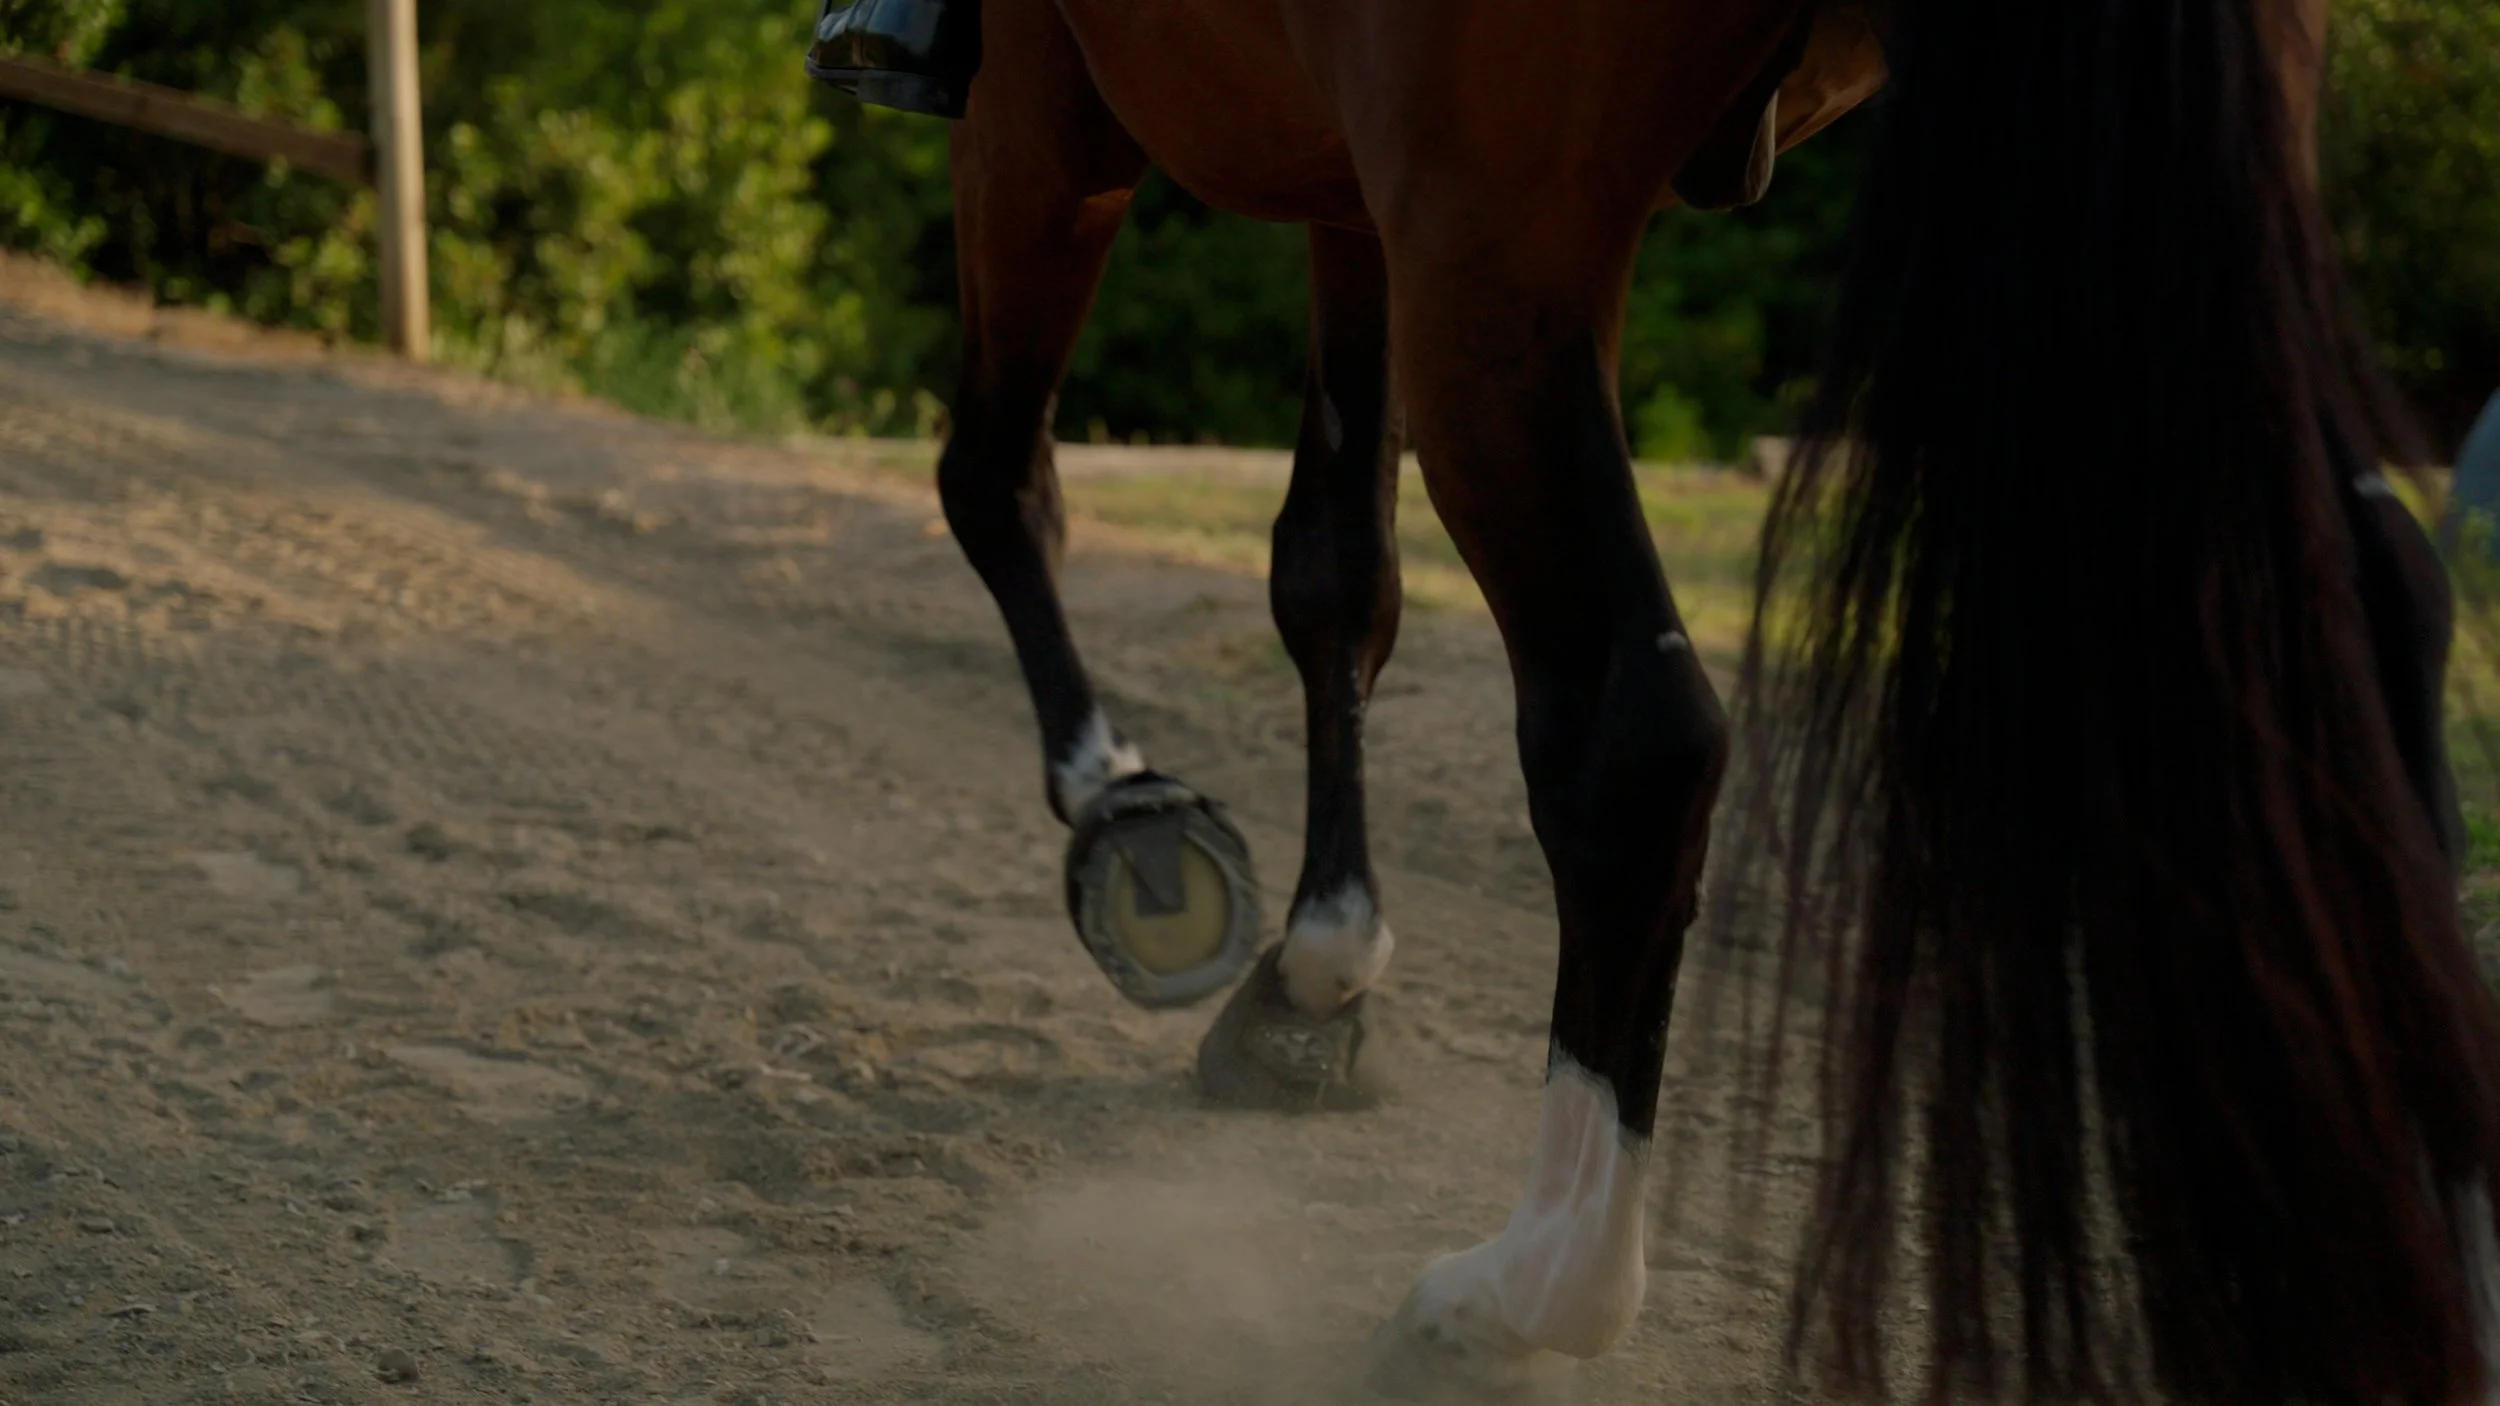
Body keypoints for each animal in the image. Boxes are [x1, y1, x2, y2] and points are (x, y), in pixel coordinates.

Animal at [919, 0, 2500, 1394]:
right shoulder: (1349, 194)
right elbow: (1334, 575)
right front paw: (1312, 970)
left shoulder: (1046, 106)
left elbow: (994, 475)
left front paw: (1124, 811)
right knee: (2376, 597)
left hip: (1494, 241)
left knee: (1634, 737)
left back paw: (1521, 1290)